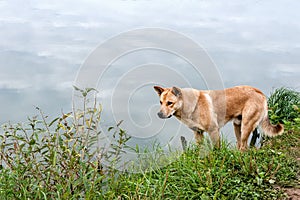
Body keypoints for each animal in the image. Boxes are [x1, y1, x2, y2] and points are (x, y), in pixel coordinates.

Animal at [155, 85, 284, 151]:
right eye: (160, 102)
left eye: (170, 103)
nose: (159, 114)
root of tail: (259, 92)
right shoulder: (198, 133)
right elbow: (199, 149)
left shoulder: (213, 131)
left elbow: (216, 149)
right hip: (237, 125)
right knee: (242, 144)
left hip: (246, 126)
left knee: (244, 146)